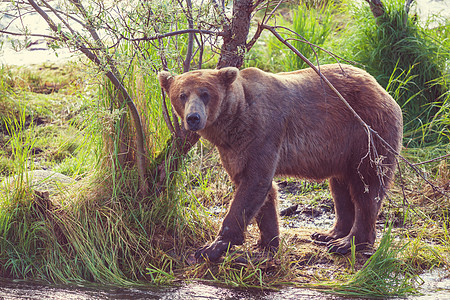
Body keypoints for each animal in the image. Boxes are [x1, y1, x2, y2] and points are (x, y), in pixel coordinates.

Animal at [159, 64, 404, 262]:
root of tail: (382, 89)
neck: (234, 120)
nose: (193, 118)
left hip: (366, 132)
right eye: (181, 95)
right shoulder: (233, 150)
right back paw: (329, 234)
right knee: (340, 187)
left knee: (366, 185)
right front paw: (267, 244)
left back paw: (347, 243)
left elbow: (254, 183)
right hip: (341, 149)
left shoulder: (263, 132)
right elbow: (259, 189)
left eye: (205, 93)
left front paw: (211, 247)